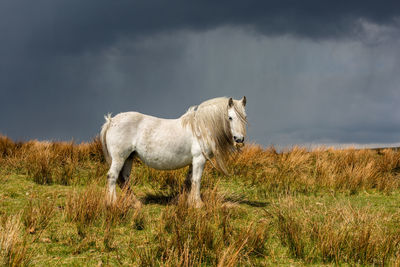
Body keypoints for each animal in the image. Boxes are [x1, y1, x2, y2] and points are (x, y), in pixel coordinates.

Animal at [100, 96, 247, 207]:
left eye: (244, 116)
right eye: (230, 117)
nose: (239, 139)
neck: (200, 128)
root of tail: (111, 121)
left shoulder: (193, 162)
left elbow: (189, 181)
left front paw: (184, 201)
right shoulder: (199, 159)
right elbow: (197, 180)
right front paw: (198, 204)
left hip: (129, 158)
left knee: (124, 179)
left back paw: (135, 203)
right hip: (119, 158)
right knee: (112, 176)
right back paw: (112, 203)